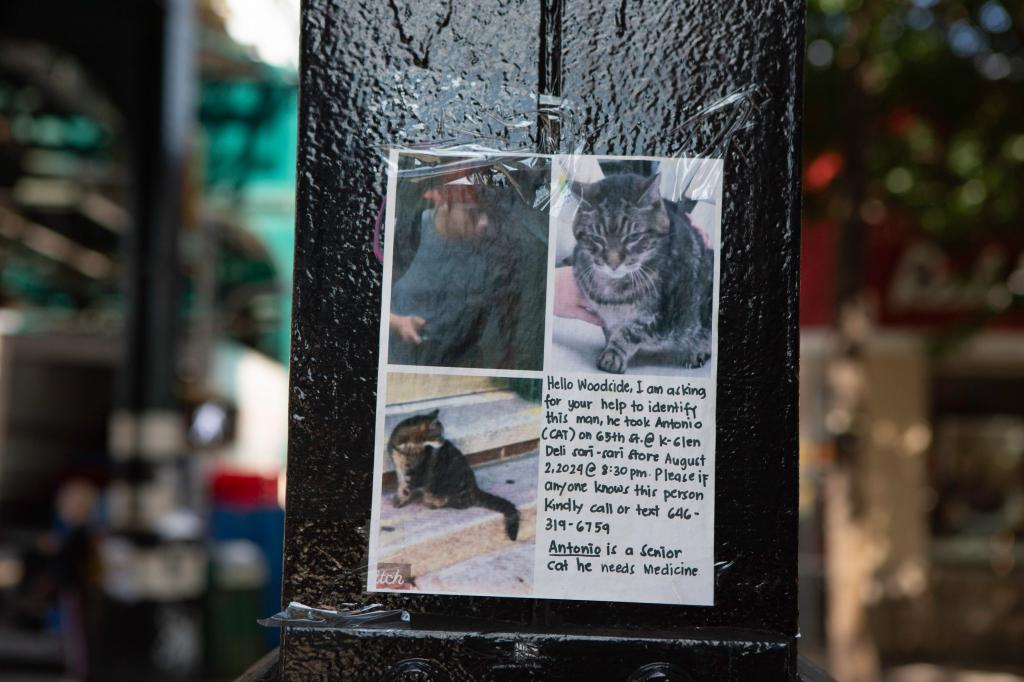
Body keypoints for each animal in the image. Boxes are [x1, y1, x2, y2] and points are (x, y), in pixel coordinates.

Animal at [569, 171, 712, 372]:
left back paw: (697, 350)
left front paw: (613, 354)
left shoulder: (660, 316)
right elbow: (610, 331)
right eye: (597, 238)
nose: (613, 263)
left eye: (633, 237)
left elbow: (630, 332)